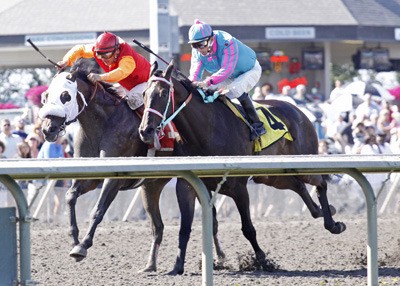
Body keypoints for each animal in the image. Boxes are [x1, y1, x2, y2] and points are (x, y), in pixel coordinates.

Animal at [139, 62, 346, 274]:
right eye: (144, 94)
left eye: (164, 93)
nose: (145, 131)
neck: (207, 131)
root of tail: (300, 111)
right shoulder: (187, 185)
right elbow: (185, 227)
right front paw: (177, 266)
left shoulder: (238, 187)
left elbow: (248, 228)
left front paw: (262, 260)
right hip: (272, 177)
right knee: (299, 186)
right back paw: (322, 211)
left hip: (301, 163)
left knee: (320, 183)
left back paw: (332, 224)